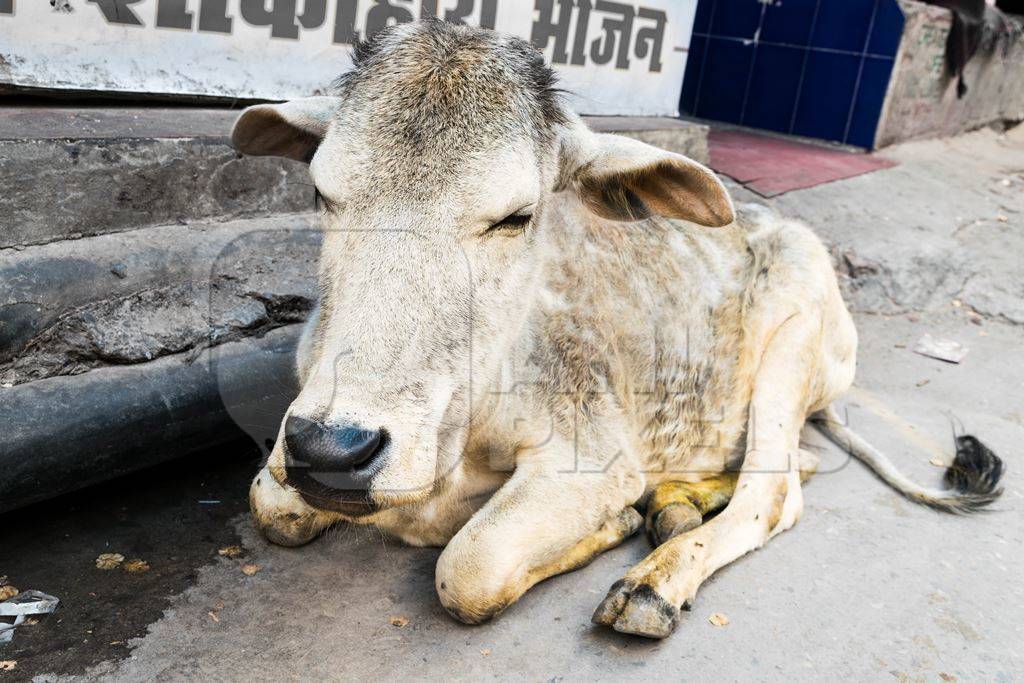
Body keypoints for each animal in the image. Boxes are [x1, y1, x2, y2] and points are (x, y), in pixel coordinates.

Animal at [230, 20, 999, 643]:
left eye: (516, 216)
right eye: (323, 192)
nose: (334, 448)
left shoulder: (591, 454)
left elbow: (469, 567)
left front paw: (609, 525)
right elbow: (271, 503)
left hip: (793, 346)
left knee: (775, 492)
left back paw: (655, 579)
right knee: (795, 467)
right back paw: (674, 505)